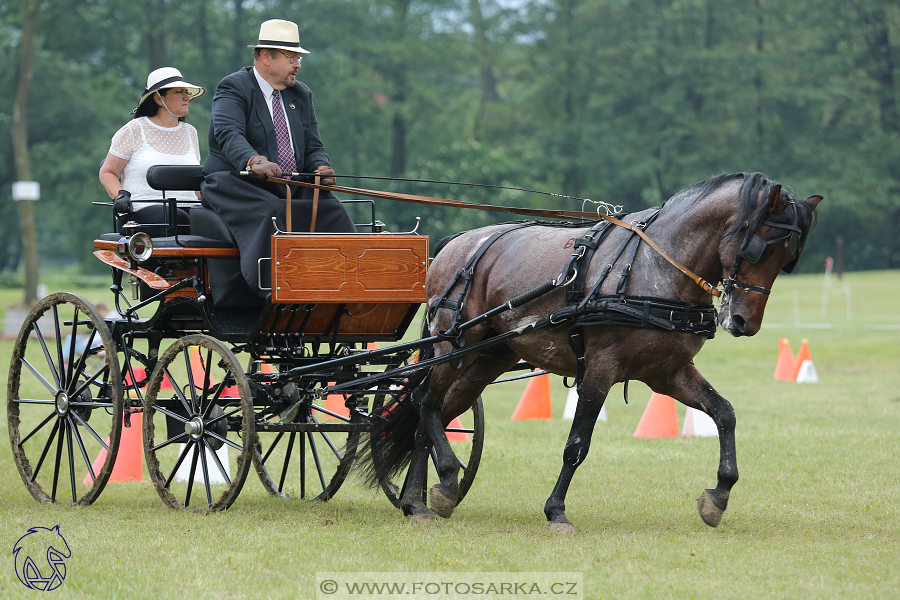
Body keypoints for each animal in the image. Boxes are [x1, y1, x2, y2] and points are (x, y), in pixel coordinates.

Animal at [358, 171, 824, 532]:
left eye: (787, 259)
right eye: (759, 247)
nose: (745, 323)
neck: (657, 268)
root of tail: (453, 246)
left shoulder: (668, 372)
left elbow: (724, 413)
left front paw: (719, 495)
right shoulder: (600, 369)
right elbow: (577, 443)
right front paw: (556, 511)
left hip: (487, 358)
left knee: (432, 412)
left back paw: (417, 501)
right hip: (453, 344)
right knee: (425, 400)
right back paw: (447, 478)